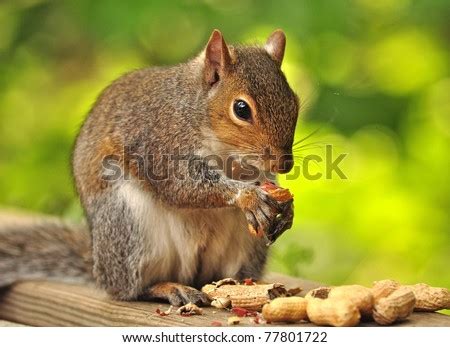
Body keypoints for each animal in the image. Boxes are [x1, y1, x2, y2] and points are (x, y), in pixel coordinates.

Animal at [0, 29, 302, 308]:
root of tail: (99, 269)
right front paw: (248, 196)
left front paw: (286, 208)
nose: (284, 164)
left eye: (295, 102)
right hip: (129, 224)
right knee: (130, 289)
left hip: (247, 248)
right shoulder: (160, 142)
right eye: (241, 109)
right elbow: (181, 186)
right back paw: (168, 287)